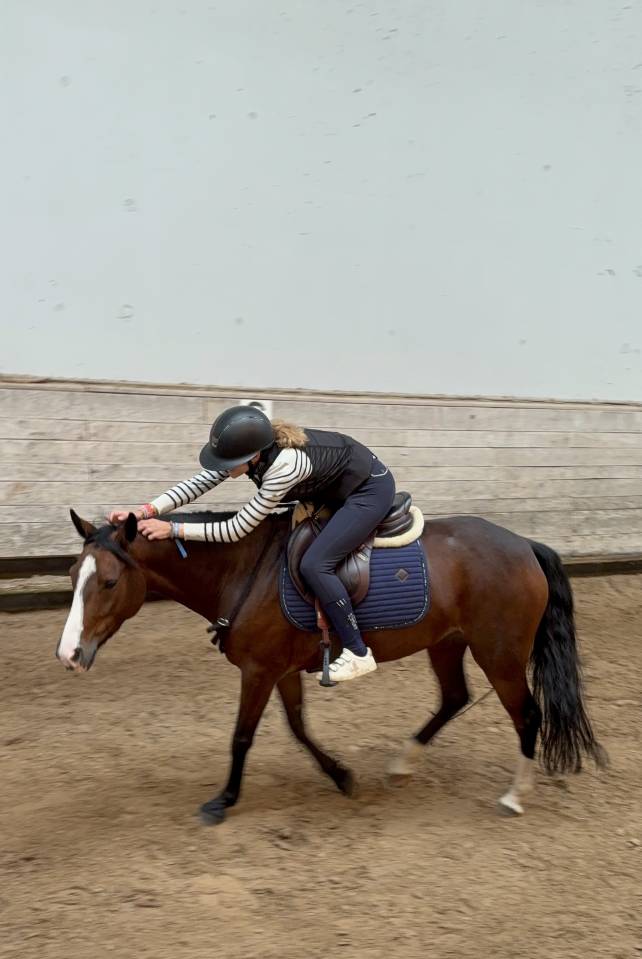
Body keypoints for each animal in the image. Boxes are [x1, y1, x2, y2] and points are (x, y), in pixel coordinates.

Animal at [55, 508, 606, 825]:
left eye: (108, 581)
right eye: (72, 573)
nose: (68, 654)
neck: (245, 570)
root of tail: (525, 545)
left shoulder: (259, 670)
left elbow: (241, 736)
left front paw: (224, 799)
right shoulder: (279, 669)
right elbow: (298, 727)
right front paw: (341, 776)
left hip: (500, 653)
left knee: (527, 715)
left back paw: (514, 795)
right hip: (448, 644)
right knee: (454, 698)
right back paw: (403, 763)